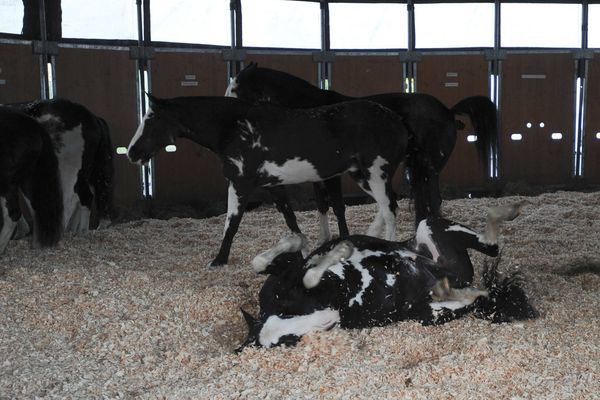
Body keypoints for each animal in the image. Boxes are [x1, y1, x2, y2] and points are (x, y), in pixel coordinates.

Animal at [126, 95, 408, 268]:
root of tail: (397, 121)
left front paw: (218, 260)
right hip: (362, 175)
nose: (131, 153)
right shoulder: (273, 187)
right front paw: (302, 253)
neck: (235, 128)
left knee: (390, 208)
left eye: (151, 119)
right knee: (384, 207)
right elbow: (292, 223)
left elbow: (232, 224)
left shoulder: (240, 184)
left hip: (375, 173)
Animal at [227, 64, 500, 242]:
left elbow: (337, 206)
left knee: (429, 201)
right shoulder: (317, 174)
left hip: (429, 168)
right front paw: (325, 239)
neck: (311, 107)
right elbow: (322, 205)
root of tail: (448, 111)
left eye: (235, 88)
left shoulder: (332, 175)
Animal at [237, 202, 536, 348]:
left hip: (428, 225)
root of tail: (455, 276)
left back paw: (508, 211)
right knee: (474, 290)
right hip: (427, 313)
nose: (328, 320)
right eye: (289, 343)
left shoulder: (287, 277)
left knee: (491, 246)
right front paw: (338, 252)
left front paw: (337, 249)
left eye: (288, 311)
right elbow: (305, 272)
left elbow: (269, 261)